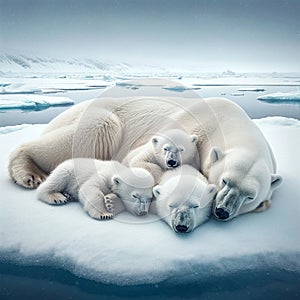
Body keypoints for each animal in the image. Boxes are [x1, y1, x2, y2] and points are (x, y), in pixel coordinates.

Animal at [8, 96, 282, 220]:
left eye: (250, 197)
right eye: (225, 180)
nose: (222, 211)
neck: (225, 122)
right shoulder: (186, 126)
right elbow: (138, 161)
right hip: (98, 118)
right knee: (93, 130)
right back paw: (29, 174)